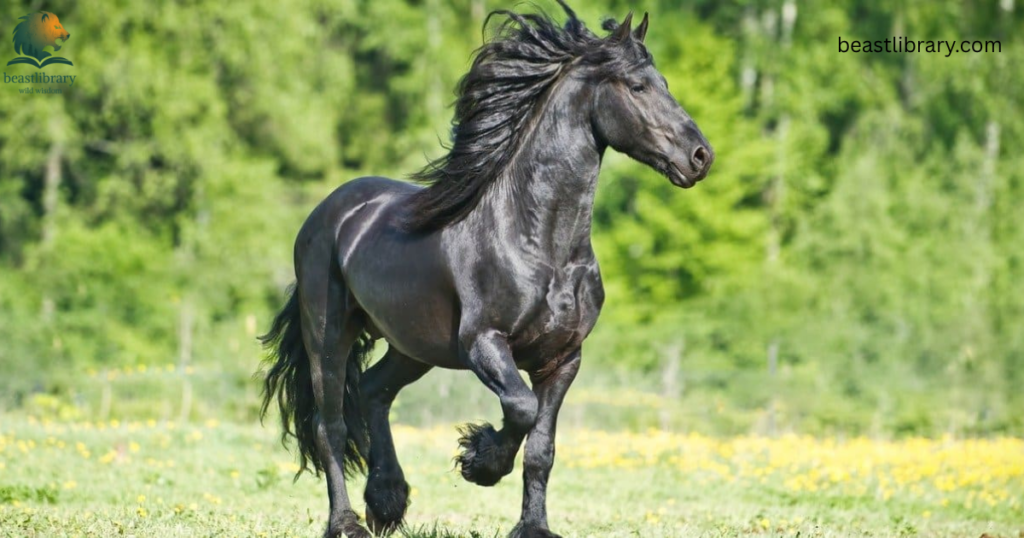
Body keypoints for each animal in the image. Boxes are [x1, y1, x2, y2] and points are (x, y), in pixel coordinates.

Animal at [260, 2, 713, 537]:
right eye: (639, 86)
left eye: (664, 82)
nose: (700, 156)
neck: (542, 246)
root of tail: (328, 212)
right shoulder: (483, 343)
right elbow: (520, 409)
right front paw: (480, 462)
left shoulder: (564, 358)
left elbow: (542, 449)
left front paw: (532, 526)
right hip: (328, 336)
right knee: (329, 424)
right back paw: (347, 521)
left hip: (413, 345)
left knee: (373, 392)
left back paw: (388, 500)